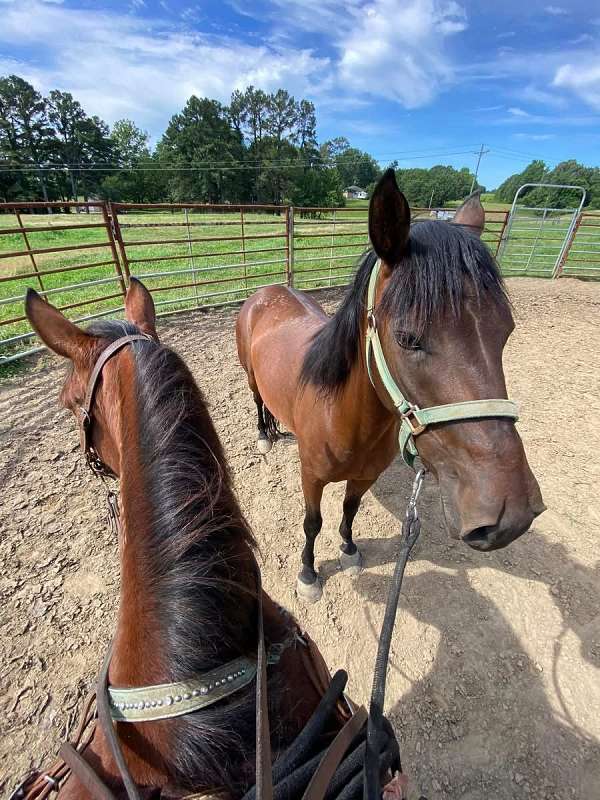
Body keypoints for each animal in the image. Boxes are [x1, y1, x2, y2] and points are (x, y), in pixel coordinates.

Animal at [236, 169, 545, 602]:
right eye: (406, 338)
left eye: (506, 331)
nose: (509, 514)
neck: (342, 416)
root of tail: (268, 291)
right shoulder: (311, 477)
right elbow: (312, 524)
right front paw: (308, 575)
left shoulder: (365, 477)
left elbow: (349, 511)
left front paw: (349, 550)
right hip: (250, 376)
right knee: (256, 400)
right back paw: (264, 436)